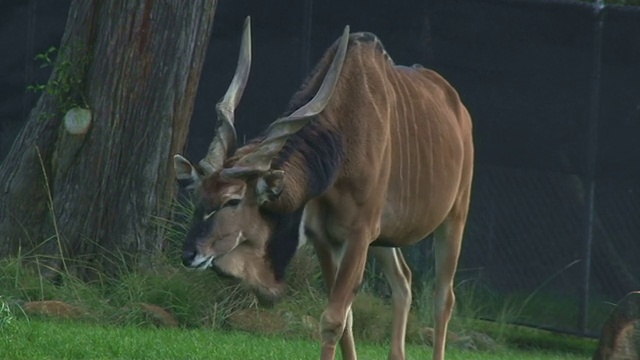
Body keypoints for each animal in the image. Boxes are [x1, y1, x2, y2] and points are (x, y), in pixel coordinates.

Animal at [172, 16, 472, 360]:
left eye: (232, 201)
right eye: (198, 195)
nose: (190, 254)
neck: (344, 138)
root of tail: (459, 110)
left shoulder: (359, 235)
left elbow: (333, 319)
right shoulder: (327, 240)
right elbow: (347, 321)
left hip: (454, 218)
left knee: (443, 299)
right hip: (385, 238)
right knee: (403, 281)